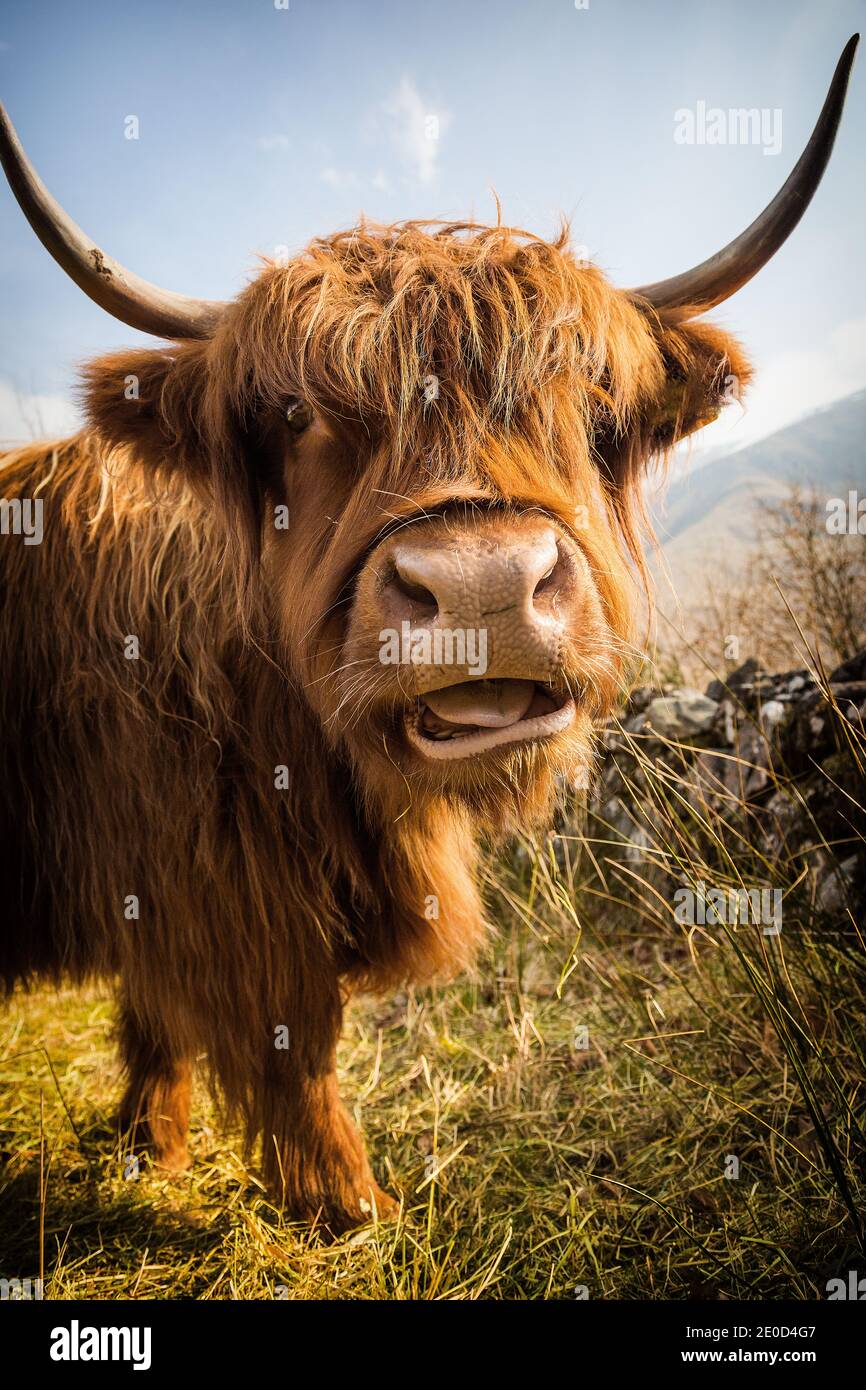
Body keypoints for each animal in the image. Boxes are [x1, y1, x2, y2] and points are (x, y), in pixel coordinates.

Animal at [0, 38, 857, 1232]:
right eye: (294, 413)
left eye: (589, 401)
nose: (483, 587)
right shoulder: (220, 887)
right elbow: (291, 1046)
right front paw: (350, 1208)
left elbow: (163, 1019)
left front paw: (148, 1148)